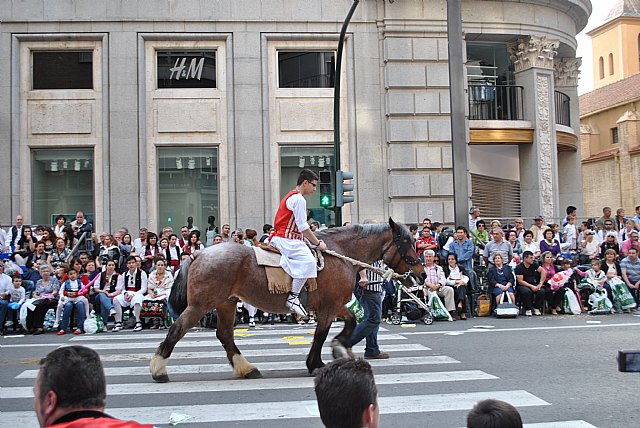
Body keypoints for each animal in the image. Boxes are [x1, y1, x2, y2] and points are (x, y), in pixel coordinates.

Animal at [148, 217, 422, 382]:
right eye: (406, 242)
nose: (420, 274)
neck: (341, 254)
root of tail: (198, 254)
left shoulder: (334, 304)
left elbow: (351, 321)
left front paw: (340, 347)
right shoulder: (329, 307)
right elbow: (321, 334)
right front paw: (317, 363)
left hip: (226, 303)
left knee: (225, 335)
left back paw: (246, 368)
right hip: (200, 305)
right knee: (177, 329)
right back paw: (158, 369)